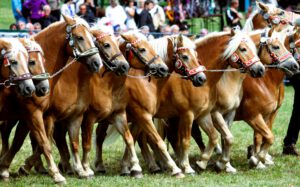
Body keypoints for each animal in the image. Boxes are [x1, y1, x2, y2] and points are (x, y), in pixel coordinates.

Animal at [0, 15, 102, 184]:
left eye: (92, 38)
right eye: (79, 37)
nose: (97, 63)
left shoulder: (42, 116)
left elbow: (40, 142)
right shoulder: (35, 114)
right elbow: (42, 143)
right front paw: (56, 174)